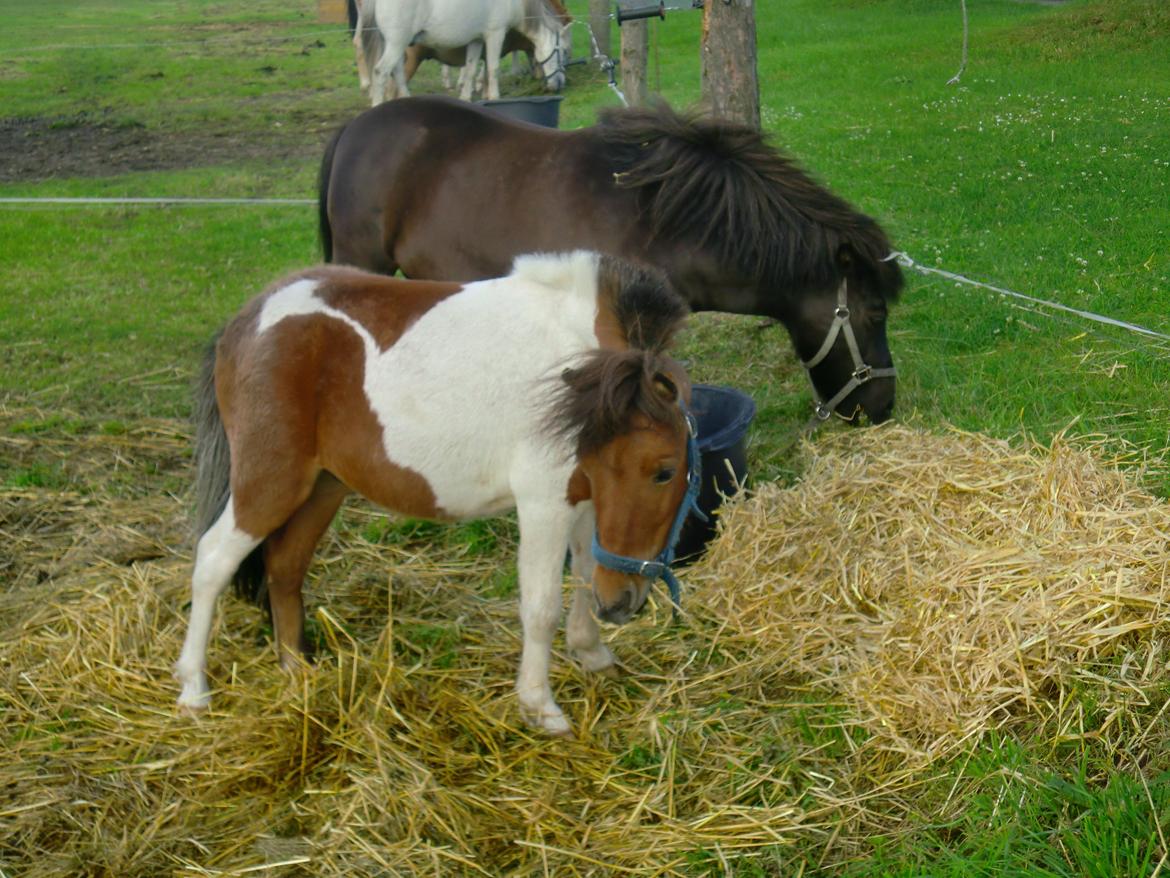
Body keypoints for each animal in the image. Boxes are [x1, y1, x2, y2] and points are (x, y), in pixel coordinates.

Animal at [174, 252, 697, 735]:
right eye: (665, 472)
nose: (620, 605)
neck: (574, 356)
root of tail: (245, 321)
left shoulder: (584, 497)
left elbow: (586, 572)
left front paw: (593, 654)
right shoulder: (544, 502)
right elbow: (541, 604)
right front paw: (539, 706)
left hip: (321, 487)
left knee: (284, 568)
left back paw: (298, 673)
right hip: (270, 484)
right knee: (213, 561)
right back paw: (193, 689)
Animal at [355, 0, 566, 103]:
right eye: (563, 51)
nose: (560, 83)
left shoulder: (476, 40)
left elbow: (471, 69)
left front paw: (465, 97)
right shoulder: (495, 35)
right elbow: (493, 68)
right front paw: (494, 97)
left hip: (396, 44)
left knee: (397, 71)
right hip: (397, 43)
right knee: (381, 72)